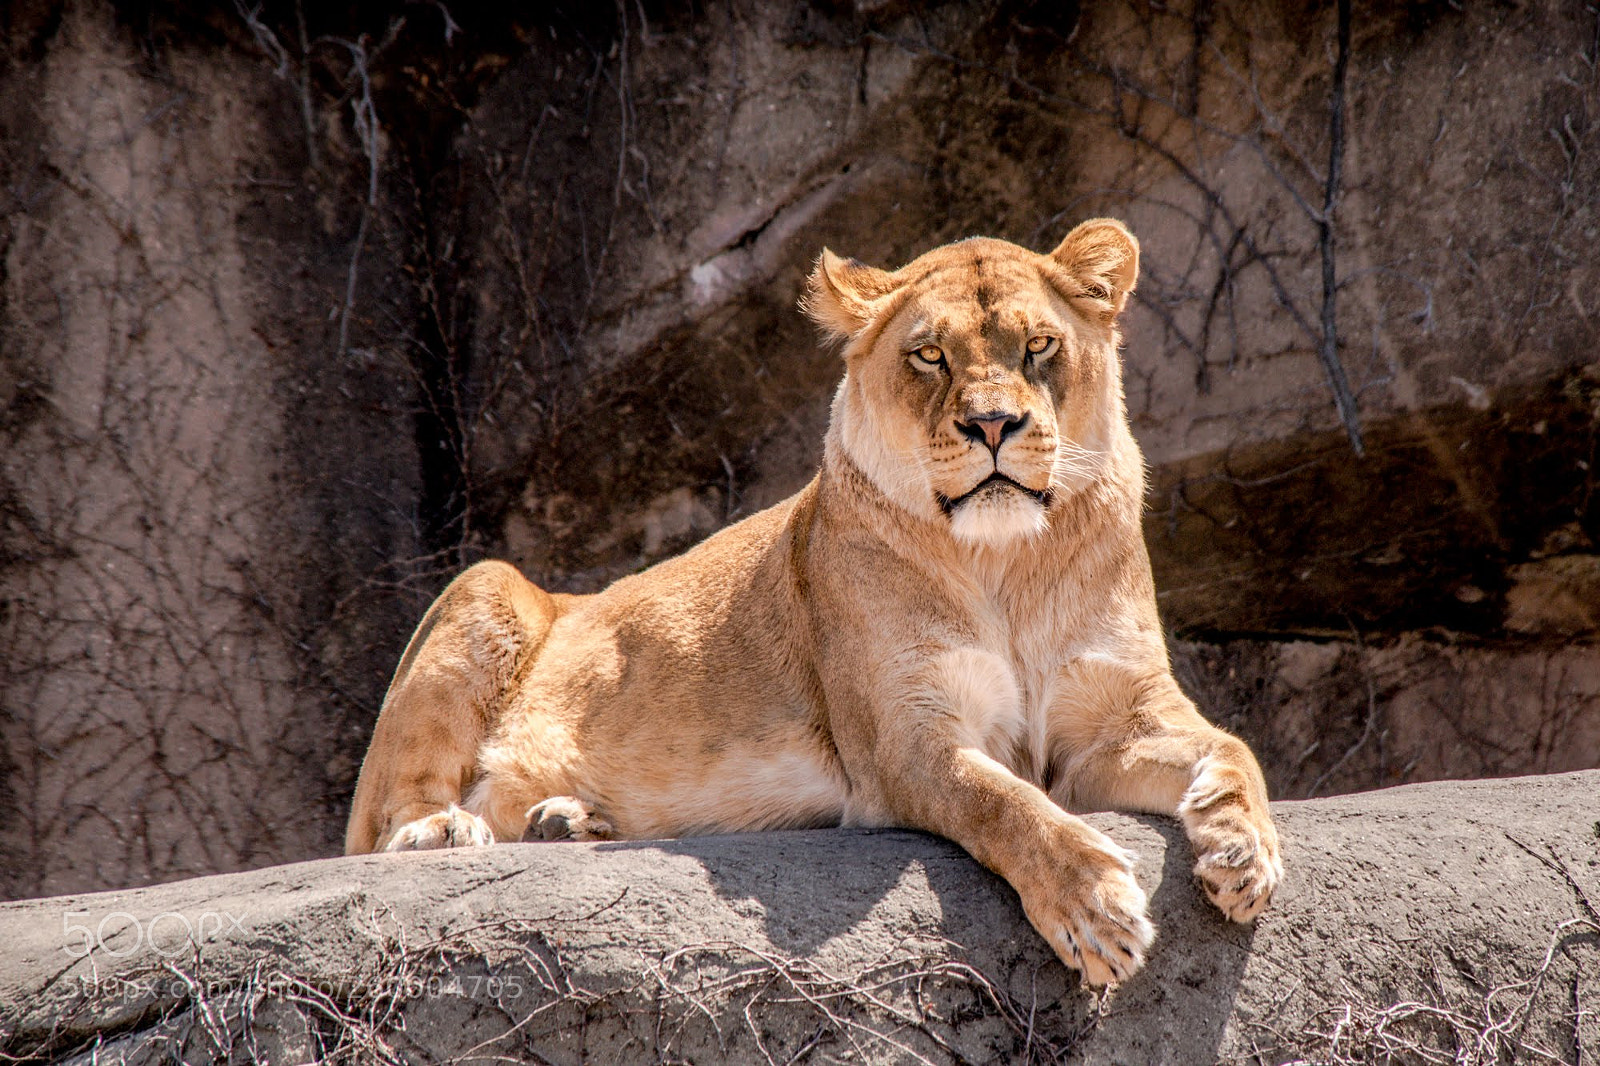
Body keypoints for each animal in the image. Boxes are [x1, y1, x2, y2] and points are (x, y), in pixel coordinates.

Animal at [344, 219, 1282, 986]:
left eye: (1040, 345)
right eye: (930, 356)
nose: (992, 426)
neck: (1006, 562)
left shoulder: (1111, 725)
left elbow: (1231, 748)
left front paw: (1245, 852)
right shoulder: (905, 743)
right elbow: (1006, 806)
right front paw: (1095, 910)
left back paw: (568, 820)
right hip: (485, 587)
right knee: (388, 818)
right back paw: (443, 832)